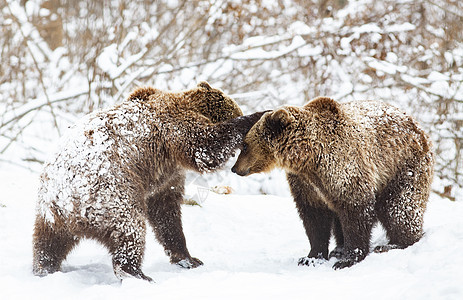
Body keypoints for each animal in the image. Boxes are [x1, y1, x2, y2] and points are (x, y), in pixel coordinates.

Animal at [32, 81, 264, 280]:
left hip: (50, 216)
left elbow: (166, 214)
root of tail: (63, 200)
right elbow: (205, 147)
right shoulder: (172, 126)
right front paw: (256, 116)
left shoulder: (165, 177)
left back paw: (43, 267)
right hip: (109, 193)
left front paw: (188, 258)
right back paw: (136, 273)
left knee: (48, 243)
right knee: (130, 229)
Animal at [234, 96, 436, 270]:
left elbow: (355, 210)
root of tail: (419, 127)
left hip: (403, 166)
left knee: (398, 207)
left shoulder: (344, 168)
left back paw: (395, 244)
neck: (308, 159)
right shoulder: (305, 184)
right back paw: (338, 249)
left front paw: (349, 258)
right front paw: (311, 257)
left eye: (244, 145)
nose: (235, 168)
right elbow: (314, 217)